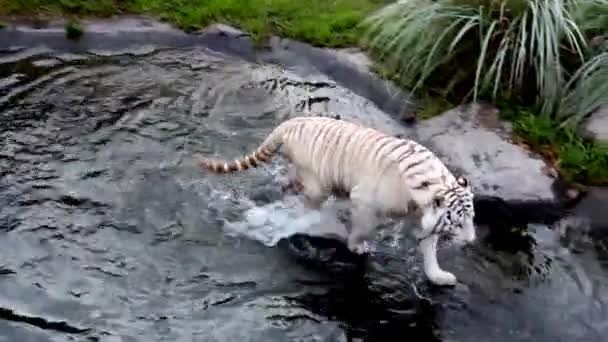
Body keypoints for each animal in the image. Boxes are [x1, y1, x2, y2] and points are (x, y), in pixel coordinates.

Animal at [197, 116, 478, 284]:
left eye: (472, 219)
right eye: (458, 223)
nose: (471, 241)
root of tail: (290, 122)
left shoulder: (425, 218)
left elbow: (429, 248)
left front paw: (439, 277)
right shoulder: (365, 201)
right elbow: (363, 228)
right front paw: (357, 246)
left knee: (290, 186)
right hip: (317, 183)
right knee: (308, 206)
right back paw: (310, 223)